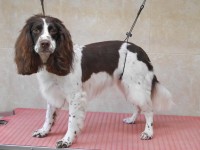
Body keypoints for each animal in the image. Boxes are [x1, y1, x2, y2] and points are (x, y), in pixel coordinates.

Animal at [14, 14, 173, 148]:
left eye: (53, 31)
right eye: (36, 30)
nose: (45, 43)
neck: (51, 63)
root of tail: (141, 51)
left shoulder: (76, 96)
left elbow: (71, 120)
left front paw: (67, 140)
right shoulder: (53, 93)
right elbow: (49, 116)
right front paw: (44, 131)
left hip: (136, 86)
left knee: (149, 110)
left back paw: (148, 132)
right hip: (128, 86)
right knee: (138, 106)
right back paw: (132, 119)